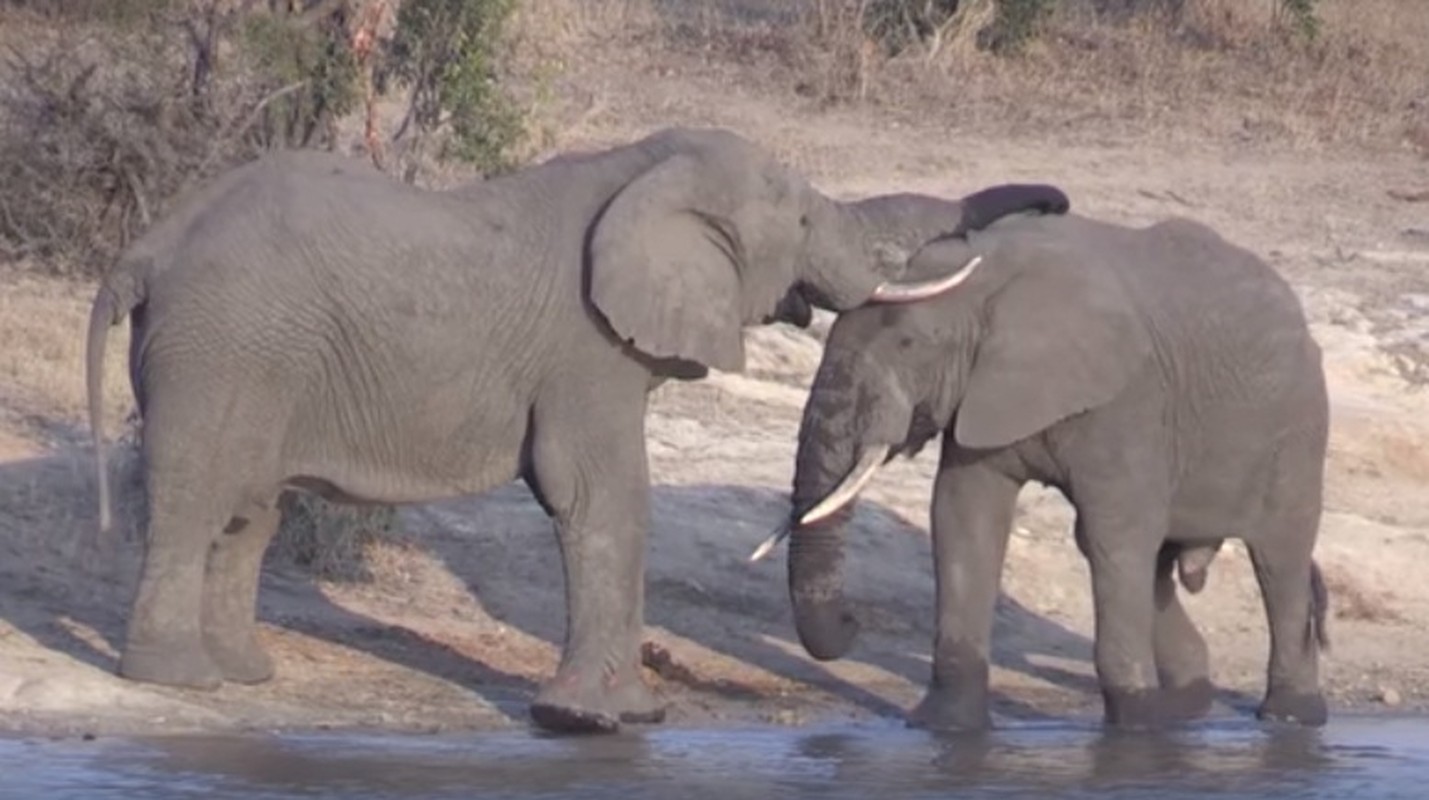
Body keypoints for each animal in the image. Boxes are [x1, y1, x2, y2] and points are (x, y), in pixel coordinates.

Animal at [765, 204, 1331, 731]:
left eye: (909, 345)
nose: (852, 624)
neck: (986, 276)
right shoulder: (981, 395)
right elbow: (963, 518)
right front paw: (942, 727)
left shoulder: (1127, 395)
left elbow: (1115, 532)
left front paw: (1134, 729)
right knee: (1158, 563)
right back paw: (1185, 709)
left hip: (1298, 427)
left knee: (1278, 559)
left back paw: (1289, 717)